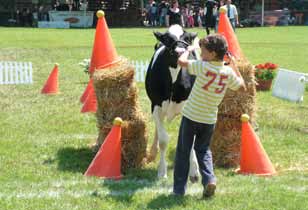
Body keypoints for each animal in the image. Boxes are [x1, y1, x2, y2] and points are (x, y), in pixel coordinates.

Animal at [146, 24, 201, 179]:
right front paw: (162, 171)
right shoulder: (156, 106)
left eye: (186, 38)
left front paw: (194, 171)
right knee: (158, 130)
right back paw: (152, 153)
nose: (180, 51)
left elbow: (190, 139)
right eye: (167, 39)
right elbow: (163, 139)